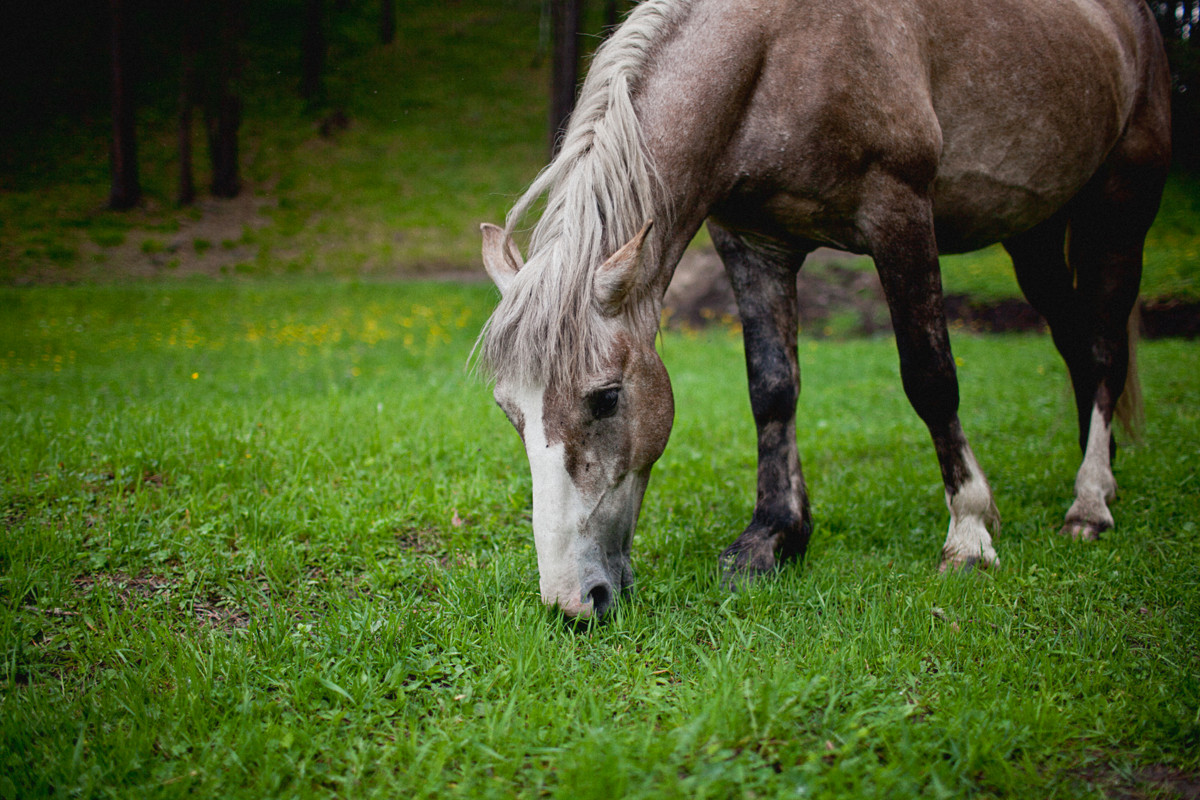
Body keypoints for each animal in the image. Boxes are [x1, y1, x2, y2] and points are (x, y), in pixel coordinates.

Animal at [472, 0, 1166, 618]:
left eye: (607, 398)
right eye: (509, 411)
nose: (573, 602)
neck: (779, 50)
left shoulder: (900, 215)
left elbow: (931, 378)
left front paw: (970, 532)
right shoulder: (753, 241)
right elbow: (772, 388)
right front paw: (774, 536)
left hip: (1118, 210)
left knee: (1105, 345)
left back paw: (1090, 501)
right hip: (1034, 233)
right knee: (1078, 346)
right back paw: (1101, 471)